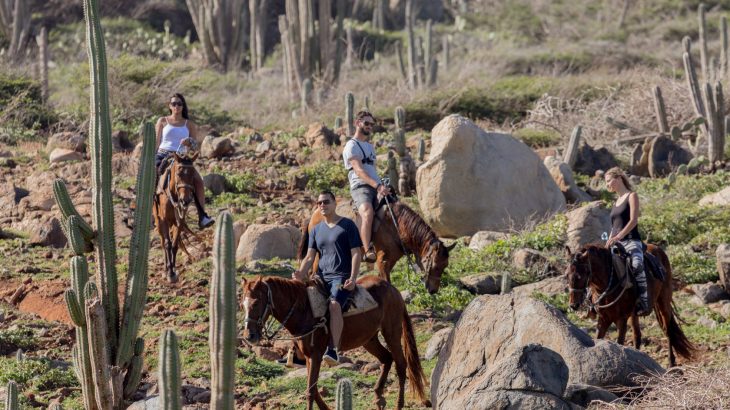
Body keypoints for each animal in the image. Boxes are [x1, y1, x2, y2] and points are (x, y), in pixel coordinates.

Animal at [152, 152, 199, 284]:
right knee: (162, 242)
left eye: (193, 175)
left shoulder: (180, 221)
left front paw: (173, 271)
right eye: (178, 173)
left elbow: (174, 245)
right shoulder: (163, 220)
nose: (185, 201)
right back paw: (164, 269)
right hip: (158, 221)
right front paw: (169, 272)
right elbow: (167, 244)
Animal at [242, 274, 430, 410]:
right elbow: (313, 389)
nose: (249, 336)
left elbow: (310, 391)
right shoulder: (309, 357)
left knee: (400, 365)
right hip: (369, 339)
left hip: (391, 333)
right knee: (386, 359)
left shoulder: (316, 355)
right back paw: (378, 397)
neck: (304, 310)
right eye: (243, 304)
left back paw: (398, 404)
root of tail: (393, 289)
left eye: (256, 302)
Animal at [296, 199, 450, 294]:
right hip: (318, 256)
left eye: (445, 266)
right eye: (435, 266)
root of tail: (314, 214)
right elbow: (387, 282)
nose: (433, 290)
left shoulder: (388, 262)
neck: (397, 226)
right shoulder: (382, 261)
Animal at [564, 242, 692, 366]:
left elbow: (620, 343)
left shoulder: (621, 319)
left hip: (663, 303)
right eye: (566, 275)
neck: (609, 282)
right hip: (634, 314)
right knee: (637, 336)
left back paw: (671, 362)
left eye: (581, 275)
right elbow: (598, 338)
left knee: (668, 330)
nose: (573, 305)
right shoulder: (603, 319)